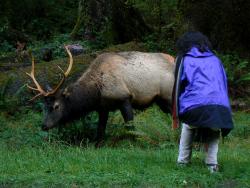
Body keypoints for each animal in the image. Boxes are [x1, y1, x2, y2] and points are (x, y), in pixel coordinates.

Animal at [26, 46, 175, 146]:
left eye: (56, 106)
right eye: (44, 106)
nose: (44, 125)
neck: (96, 92)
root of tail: (174, 61)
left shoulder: (124, 97)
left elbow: (130, 126)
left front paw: (134, 143)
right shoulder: (102, 107)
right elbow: (100, 129)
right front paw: (97, 145)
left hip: (168, 95)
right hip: (160, 100)